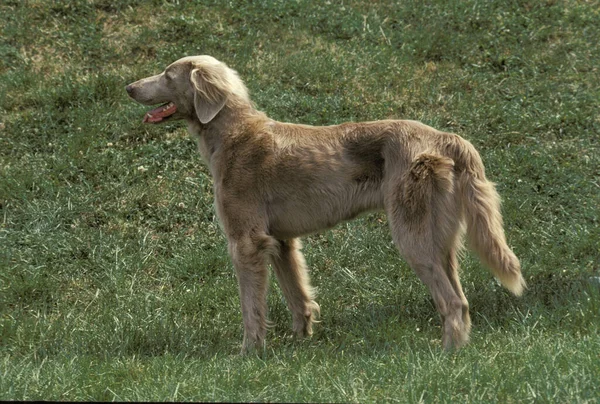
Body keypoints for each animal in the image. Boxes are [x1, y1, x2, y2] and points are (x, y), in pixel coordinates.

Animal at [126, 55, 524, 352]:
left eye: (167, 74)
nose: (129, 87)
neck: (234, 135)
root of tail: (444, 138)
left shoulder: (247, 242)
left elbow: (251, 307)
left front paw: (249, 353)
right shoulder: (281, 241)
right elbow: (298, 296)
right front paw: (300, 342)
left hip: (413, 236)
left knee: (452, 302)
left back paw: (446, 354)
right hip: (441, 238)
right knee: (461, 299)